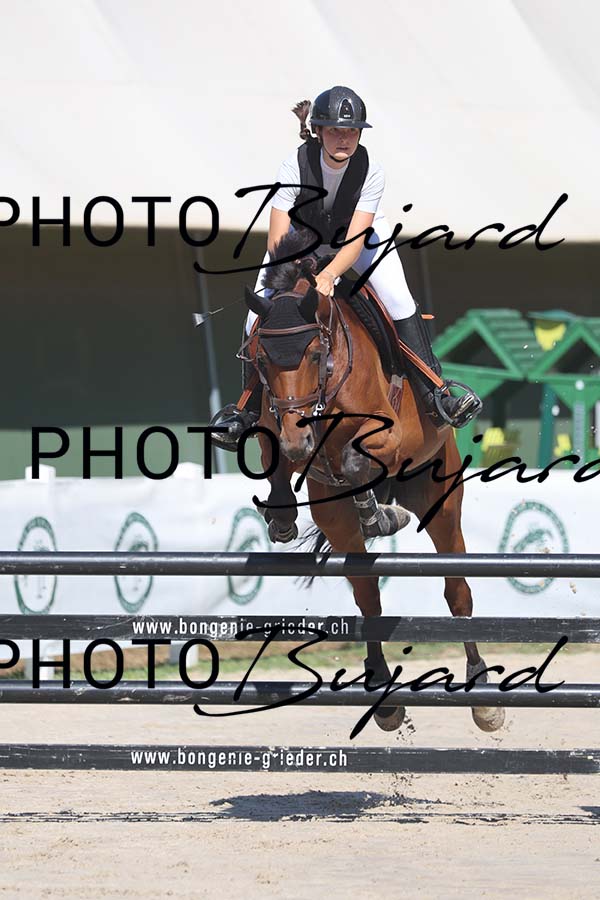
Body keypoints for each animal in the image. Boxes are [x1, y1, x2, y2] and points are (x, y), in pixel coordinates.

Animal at [239, 229, 504, 734]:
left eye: (316, 353)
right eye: (259, 359)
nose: (300, 440)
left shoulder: (388, 435)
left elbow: (356, 460)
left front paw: (381, 514)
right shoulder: (271, 425)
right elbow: (275, 459)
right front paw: (283, 517)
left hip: (441, 499)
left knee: (457, 591)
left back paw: (483, 696)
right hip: (335, 517)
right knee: (368, 599)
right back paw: (384, 698)